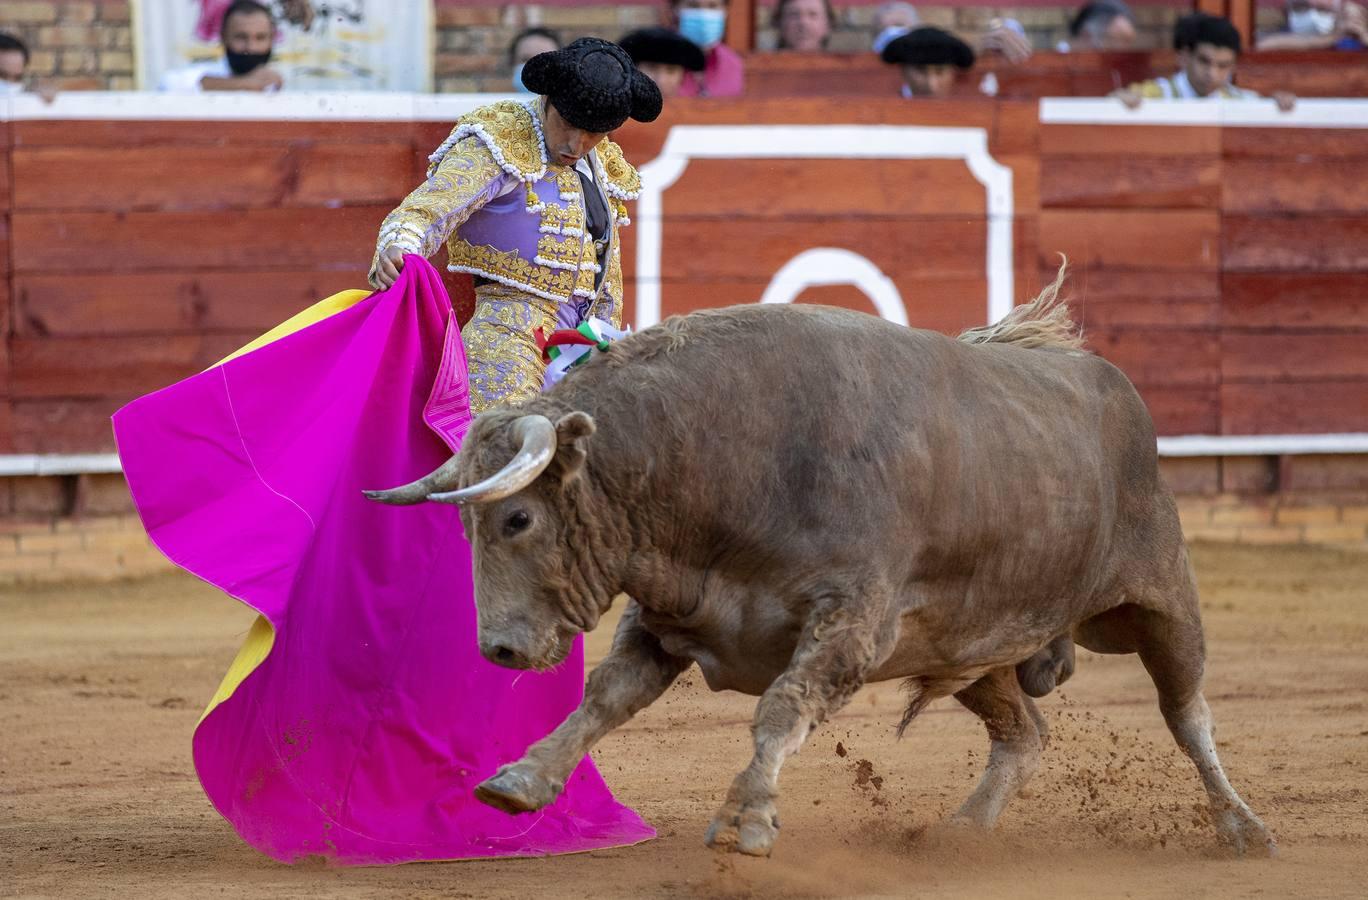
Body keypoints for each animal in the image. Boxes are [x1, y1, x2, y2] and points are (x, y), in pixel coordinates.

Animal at [369, 272, 1274, 853]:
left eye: (518, 516)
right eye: (467, 526)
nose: (499, 649)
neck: (718, 457)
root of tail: (1109, 384)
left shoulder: (852, 625)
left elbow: (780, 707)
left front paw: (746, 820)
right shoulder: (668, 616)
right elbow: (605, 700)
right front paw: (522, 780)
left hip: (1161, 596)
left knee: (1188, 712)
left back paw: (1241, 826)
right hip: (972, 647)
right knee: (1026, 735)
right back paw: (963, 835)